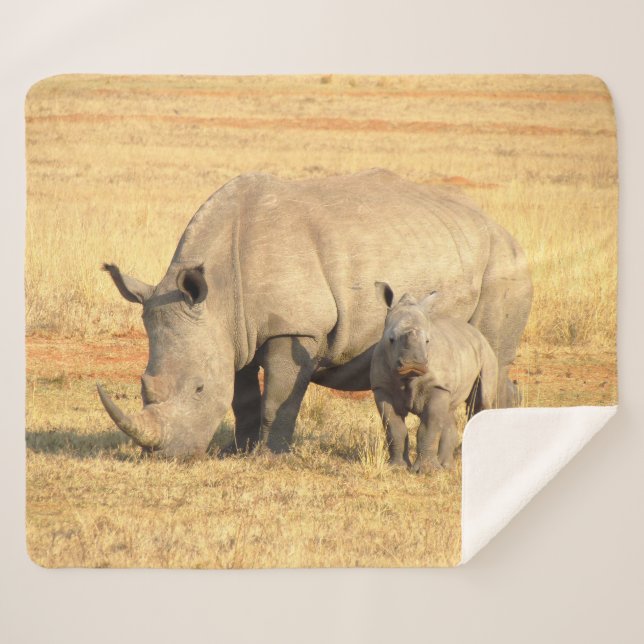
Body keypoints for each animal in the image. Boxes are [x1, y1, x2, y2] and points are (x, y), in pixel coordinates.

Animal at [370, 284, 498, 473]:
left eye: (428, 341)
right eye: (391, 339)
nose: (414, 363)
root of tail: (477, 333)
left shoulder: (438, 386)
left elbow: (429, 426)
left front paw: (426, 471)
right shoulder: (382, 388)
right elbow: (394, 428)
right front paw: (396, 468)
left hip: (487, 354)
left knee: (481, 401)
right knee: (449, 413)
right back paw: (447, 467)